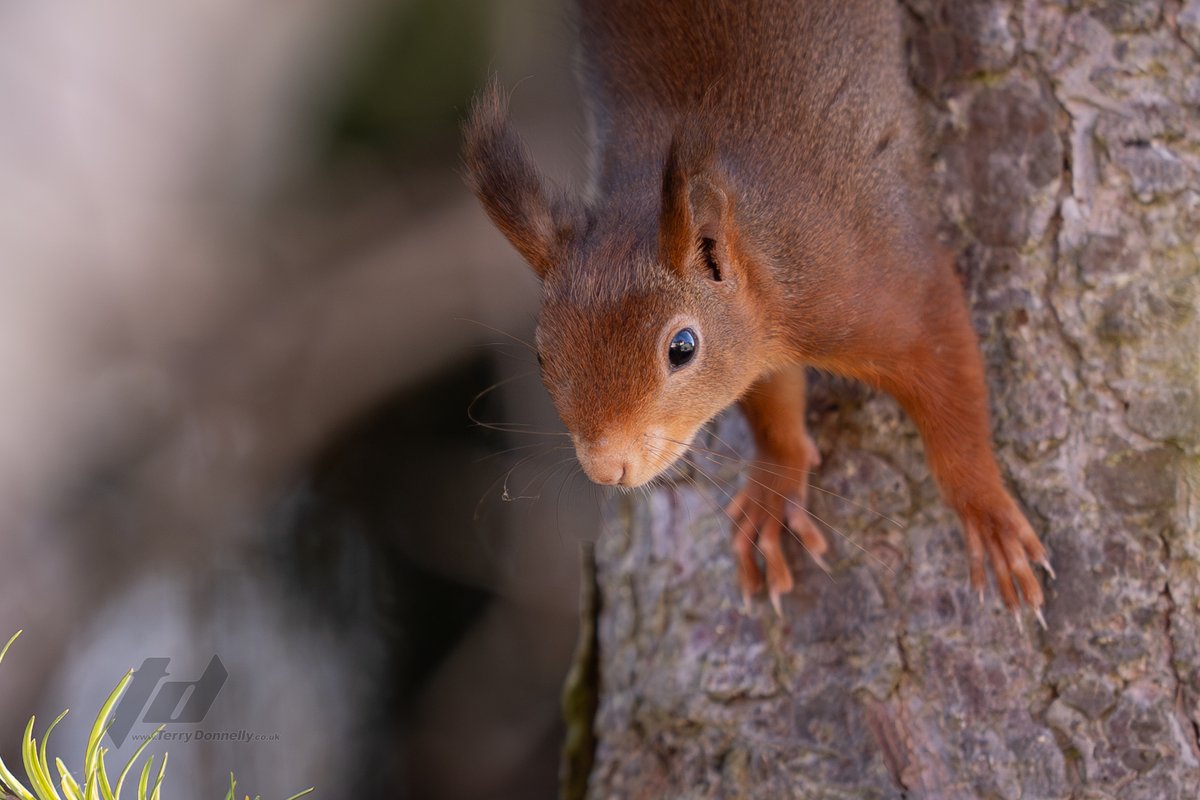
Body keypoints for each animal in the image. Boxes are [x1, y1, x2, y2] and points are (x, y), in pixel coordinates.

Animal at [463, 0, 1052, 621]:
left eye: (682, 347)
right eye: (541, 356)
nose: (607, 468)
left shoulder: (871, 282)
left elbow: (948, 377)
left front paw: (986, 512)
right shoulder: (757, 346)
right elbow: (771, 401)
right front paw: (775, 483)